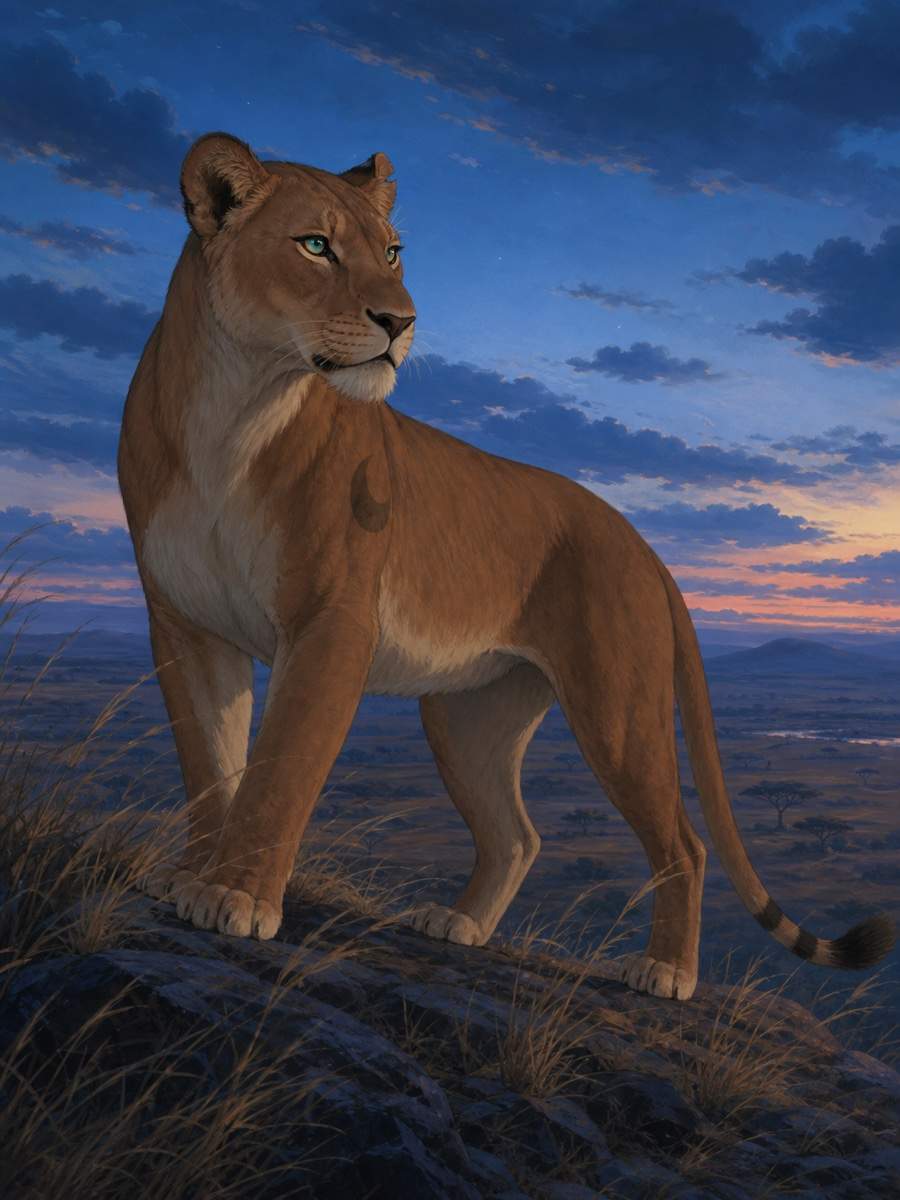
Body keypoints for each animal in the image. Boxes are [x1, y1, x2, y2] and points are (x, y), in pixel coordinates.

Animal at [118, 131, 894, 1001]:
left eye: (393, 252)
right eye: (315, 246)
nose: (401, 319)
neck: (235, 407)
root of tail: (642, 544)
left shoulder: (330, 622)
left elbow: (280, 768)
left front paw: (235, 898)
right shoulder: (185, 624)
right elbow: (209, 766)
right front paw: (189, 880)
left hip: (616, 708)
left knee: (683, 844)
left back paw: (664, 971)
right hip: (470, 715)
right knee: (518, 835)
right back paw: (460, 924)